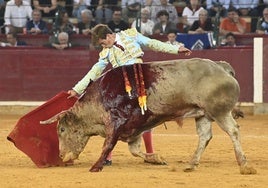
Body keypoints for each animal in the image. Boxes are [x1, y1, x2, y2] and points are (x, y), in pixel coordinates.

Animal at [40, 58, 255, 174]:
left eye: (62, 129)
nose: (61, 155)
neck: (99, 98)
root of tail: (221, 67)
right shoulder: (133, 129)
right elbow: (134, 149)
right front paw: (157, 159)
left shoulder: (115, 124)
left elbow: (107, 145)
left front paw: (96, 166)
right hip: (202, 114)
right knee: (205, 136)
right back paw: (191, 164)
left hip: (220, 112)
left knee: (233, 131)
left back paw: (244, 165)